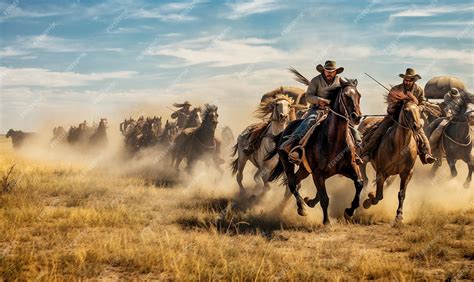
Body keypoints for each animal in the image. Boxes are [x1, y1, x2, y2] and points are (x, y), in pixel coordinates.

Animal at [268, 77, 364, 225]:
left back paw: (291, 207)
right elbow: (324, 198)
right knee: (292, 184)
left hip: (304, 169)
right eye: (345, 95)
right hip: (287, 163)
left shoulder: (350, 166)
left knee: (296, 182)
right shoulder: (318, 173)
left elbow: (359, 184)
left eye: (359, 95)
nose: (357, 117)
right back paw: (301, 209)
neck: (334, 140)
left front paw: (349, 211)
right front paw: (326, 222)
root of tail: (284, 131)